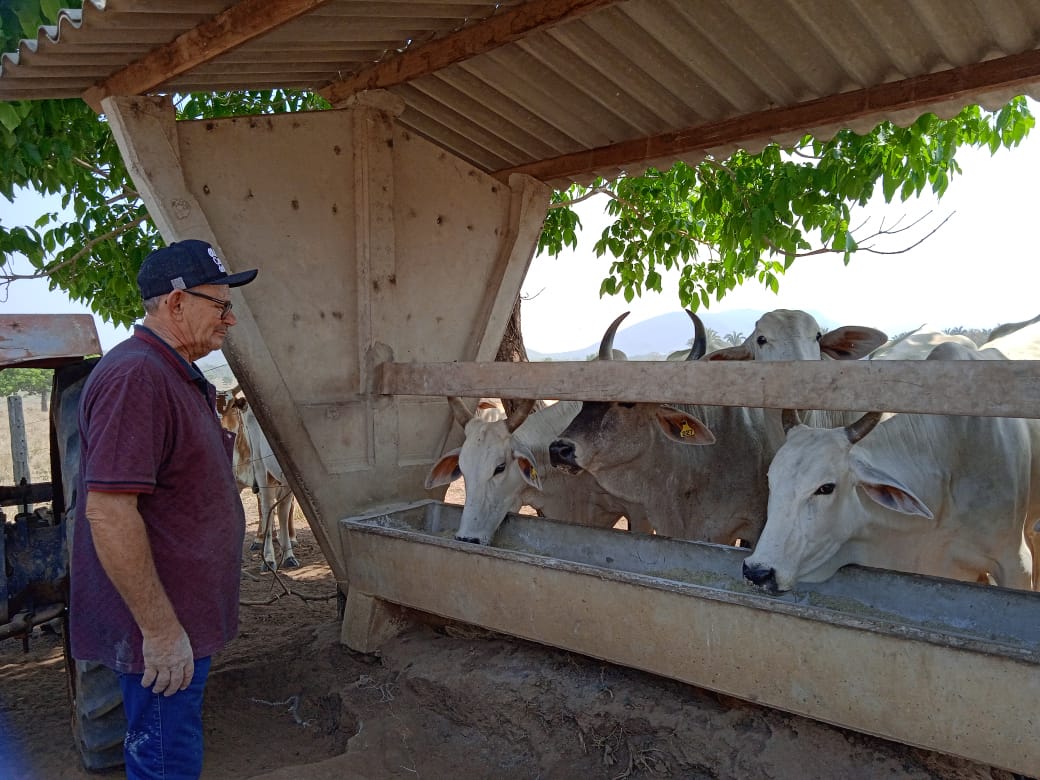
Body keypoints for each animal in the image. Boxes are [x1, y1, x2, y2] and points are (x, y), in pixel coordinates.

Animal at [215, 388, 297, 569]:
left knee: (281, 511)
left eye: (232, 407)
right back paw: (269, 557)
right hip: (262, 471)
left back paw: (286, 551)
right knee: (267, 509)